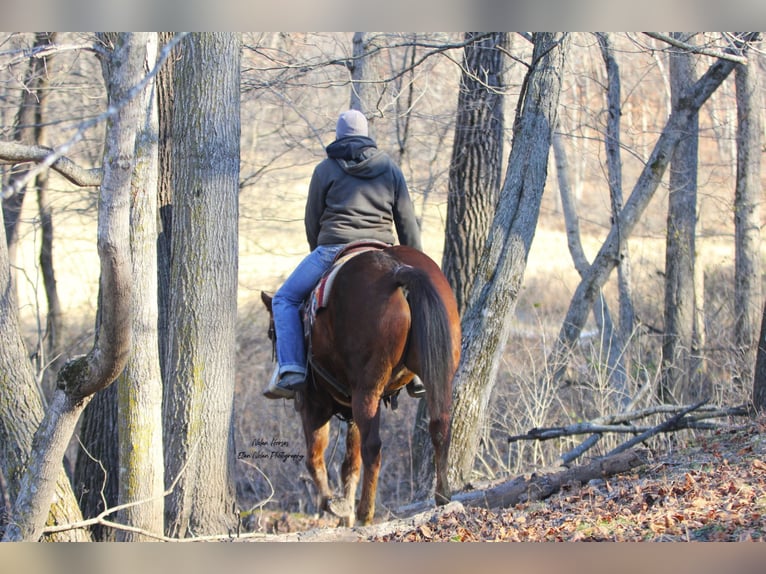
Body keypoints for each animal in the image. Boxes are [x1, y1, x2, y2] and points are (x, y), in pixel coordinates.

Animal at [262, 245, 462, 528]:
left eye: (272, 333)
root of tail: (397, 269)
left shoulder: (313, 404)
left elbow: (315, 457)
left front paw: (334, 504)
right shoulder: (350, 409)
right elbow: (350, 463)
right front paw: (344, 510)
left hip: (366, 391)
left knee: (373, 447)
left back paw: (365, 513)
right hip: (436, 374)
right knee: (440, 426)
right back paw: (443, 495)